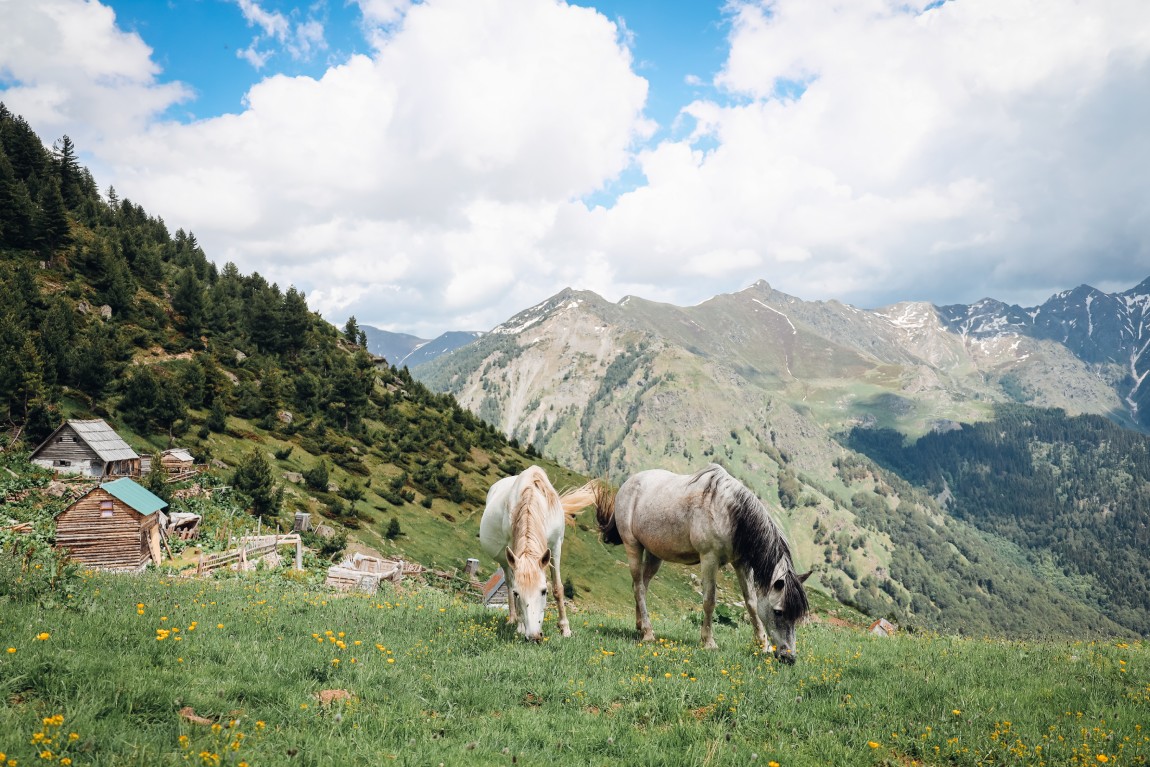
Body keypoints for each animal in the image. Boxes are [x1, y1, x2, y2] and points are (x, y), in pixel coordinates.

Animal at [479, 465, 602, 641]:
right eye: (518, 593)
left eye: (544, 591)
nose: (534, 636)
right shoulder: (513, 548)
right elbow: (514, 587)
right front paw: (520, 627)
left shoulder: (556, 547)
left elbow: (558, 588)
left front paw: (565, 629)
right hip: (505, 560)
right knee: (508, 582)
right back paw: (512, 619)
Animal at [596, 463, 810, 664]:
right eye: (778, 612)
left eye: (797, 615)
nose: (789, 657)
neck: (729, 512)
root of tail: (627, 484)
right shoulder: (709, 559)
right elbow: (709, 600)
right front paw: (708, 642)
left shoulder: (741, 563)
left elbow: (751, 602)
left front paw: (762, 644)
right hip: (633, 546)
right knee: (639, 587)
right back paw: (648, 633)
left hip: (654, 554)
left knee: (640, 585)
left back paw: (640, 625)